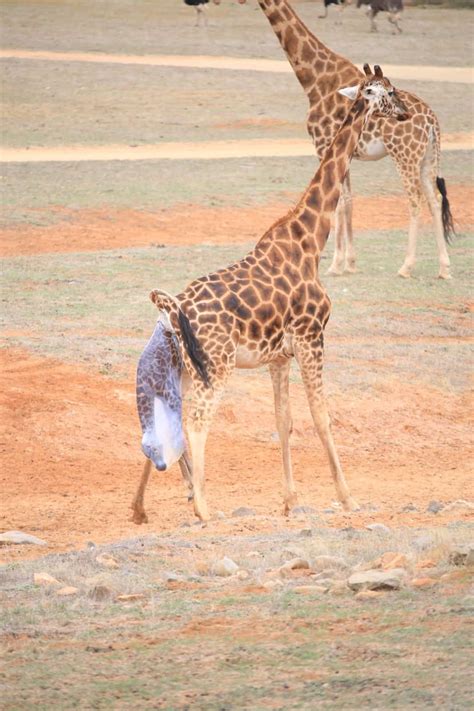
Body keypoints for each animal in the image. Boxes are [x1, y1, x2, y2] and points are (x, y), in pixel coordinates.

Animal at [142, 68, 412, 524]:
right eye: (390, 92)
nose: (407, 112)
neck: (310, 240)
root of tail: (172, 308)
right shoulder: (311, 337)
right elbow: (322, 416)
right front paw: (348, 498)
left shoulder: (279, 356)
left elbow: (283, 420)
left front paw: (291, 500)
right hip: (216, 367)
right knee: (196, 422)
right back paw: (203, 507)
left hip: (184, 367)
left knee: (170, 417)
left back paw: (173, 495)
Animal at [243, 0, 454, 278]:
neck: (315, 80)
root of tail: (432, 121)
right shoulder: (346, 153)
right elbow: (348, 201)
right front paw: (350, 263)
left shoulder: (323, 145)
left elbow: (339, 203)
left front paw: (335, 264)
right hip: (427, 158)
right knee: (435, 199)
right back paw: (444, 267)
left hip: (404, 155)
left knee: (415, 200)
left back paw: (406, 266)